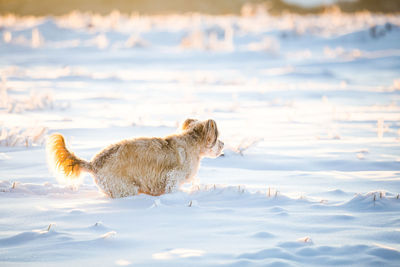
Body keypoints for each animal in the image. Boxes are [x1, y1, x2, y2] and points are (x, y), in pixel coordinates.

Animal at [46, 119, 225, 199]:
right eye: (217, 139)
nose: (223, 144)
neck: (191, 144)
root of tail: (94, 164)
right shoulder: (173, 178)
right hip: (124, 187)